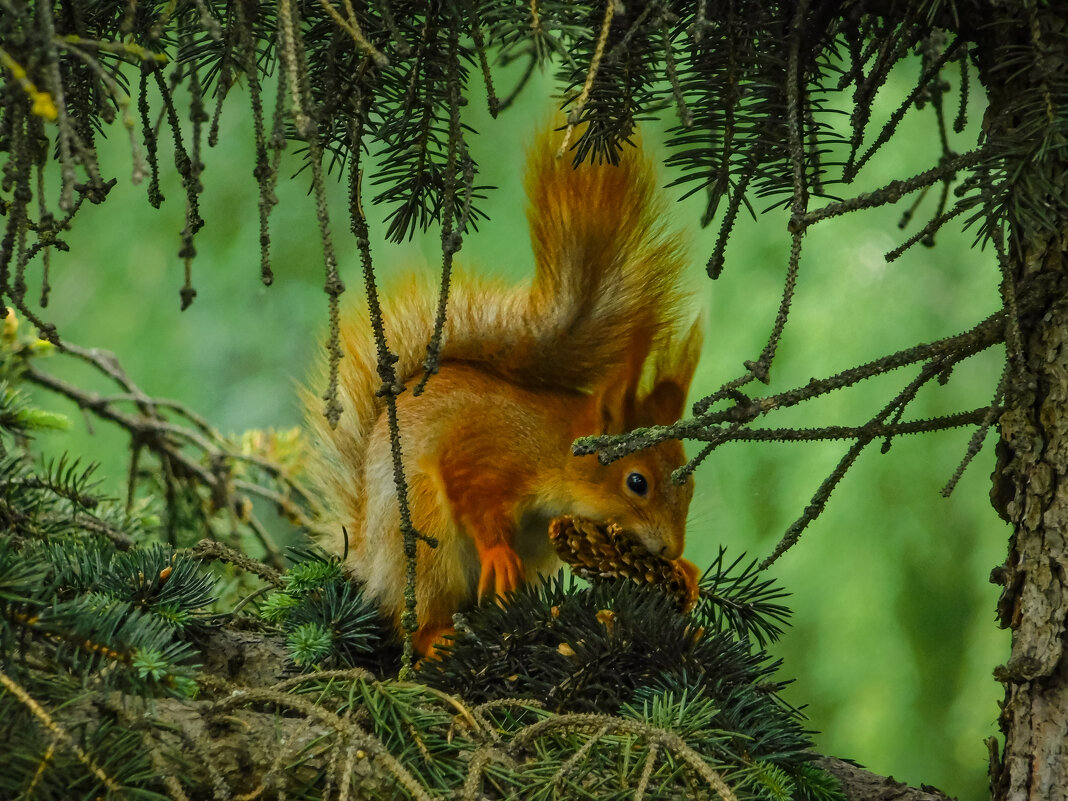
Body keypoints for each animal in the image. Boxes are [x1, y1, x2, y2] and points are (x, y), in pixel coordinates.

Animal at [305, 131, 700, 657]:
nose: (672, 548)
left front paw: (685, 573)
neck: (554, 447)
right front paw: (497, 552)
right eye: (637, 482)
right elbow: (470, 489)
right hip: (424, 540)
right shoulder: (487, 450)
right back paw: (438, 637)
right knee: (417, 616)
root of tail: (369, 564)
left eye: (689, 483)